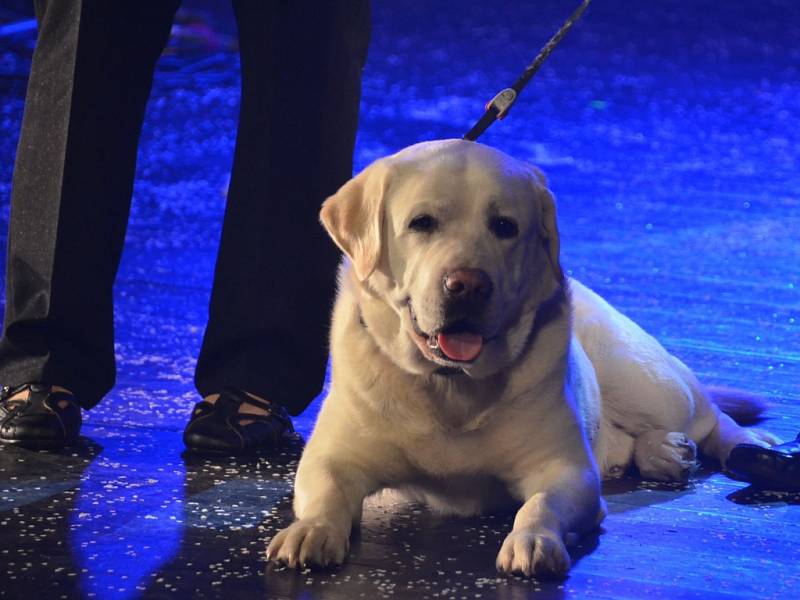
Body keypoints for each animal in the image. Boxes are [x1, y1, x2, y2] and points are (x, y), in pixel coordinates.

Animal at [268, 139, 776, 576]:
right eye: (422, 223)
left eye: (504, 226)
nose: (468, 285)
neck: (449, 386)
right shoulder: (330, 458)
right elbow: (325, 492)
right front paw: (310, 531)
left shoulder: (568, 471)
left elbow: (540, 504)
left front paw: (533, 540)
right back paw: (662, 452)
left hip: (646, 382)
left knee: (711, 417)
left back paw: (741, 449)